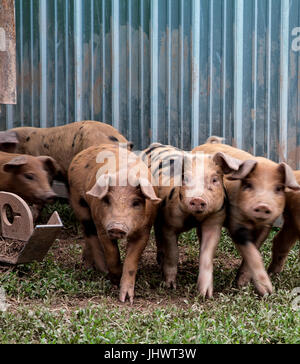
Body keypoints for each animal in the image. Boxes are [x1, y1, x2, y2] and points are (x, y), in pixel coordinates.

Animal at [68, 144, 161, 302]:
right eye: (107, 200)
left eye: (136, 202)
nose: (117, 227)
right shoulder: (103, 227)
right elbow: (112, 253)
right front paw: (114, 282)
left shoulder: (144, 230)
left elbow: (131, 261)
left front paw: (126, 299)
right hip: (79, 203)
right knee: (89, 233)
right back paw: (99, 269)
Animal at [141, 143, 244, 298]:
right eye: (186, 179)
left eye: (214, 180)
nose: (197, 199)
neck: (193, 218)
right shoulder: (169, 223)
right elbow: (173, 253)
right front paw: (170, 286)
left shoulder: (215, 220)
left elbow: (206, 255)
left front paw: (205, 294)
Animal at [195, 139, 300, 296]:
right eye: (248, 185)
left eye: (278, 188)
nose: (263, 205)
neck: (253, 222)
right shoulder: (236, 222)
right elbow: (251, 251)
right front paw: (266, 291)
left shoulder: (266, 227)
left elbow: (255, 248)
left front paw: (245, 285)